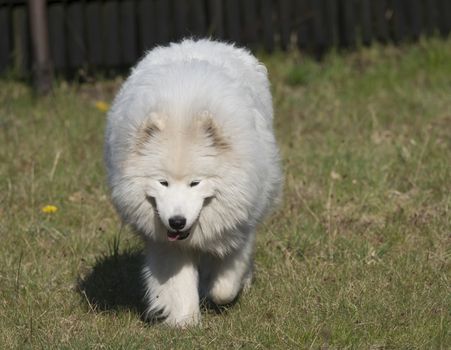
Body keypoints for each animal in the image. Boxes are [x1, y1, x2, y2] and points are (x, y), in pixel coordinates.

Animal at [105, 39, 282, 326]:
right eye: (163, 182)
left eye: (195, 183)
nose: (177, 221)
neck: (182, 108)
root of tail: (200, 41)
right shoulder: (167, 242)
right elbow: (178, 283)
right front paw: (184, 321)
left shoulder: (239, 227)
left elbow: (225, 284)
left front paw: (216, 290)